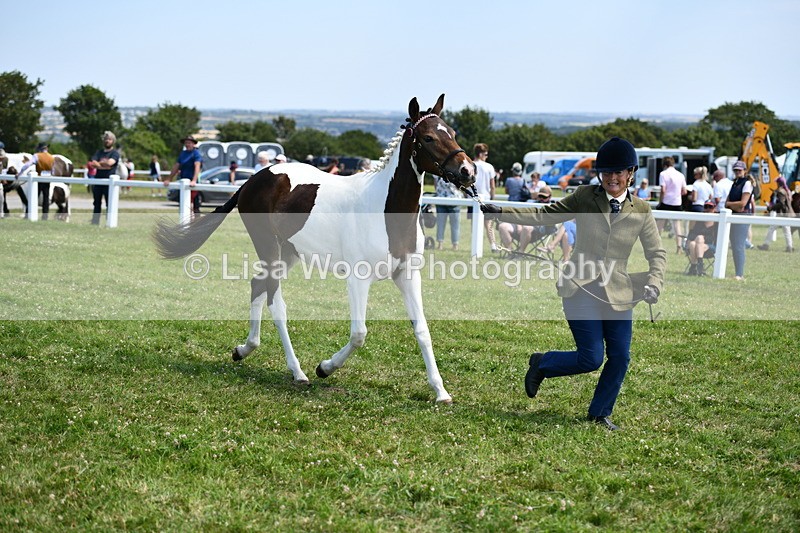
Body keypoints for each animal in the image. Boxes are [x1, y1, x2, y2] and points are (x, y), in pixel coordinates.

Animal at [154, 94, 476, 403]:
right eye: (428, 137)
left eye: (453, 132)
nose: (467, 171)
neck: (384, 211)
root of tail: (254, 180)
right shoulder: (358, 279)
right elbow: (359, 333)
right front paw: (325, 368)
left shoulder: (407, 275)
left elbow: (422, 330)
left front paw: (441, 392)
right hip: (268, 246)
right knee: (275, 303)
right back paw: (298, 372)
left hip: (289, 252)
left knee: (257, 286)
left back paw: (244, 349)